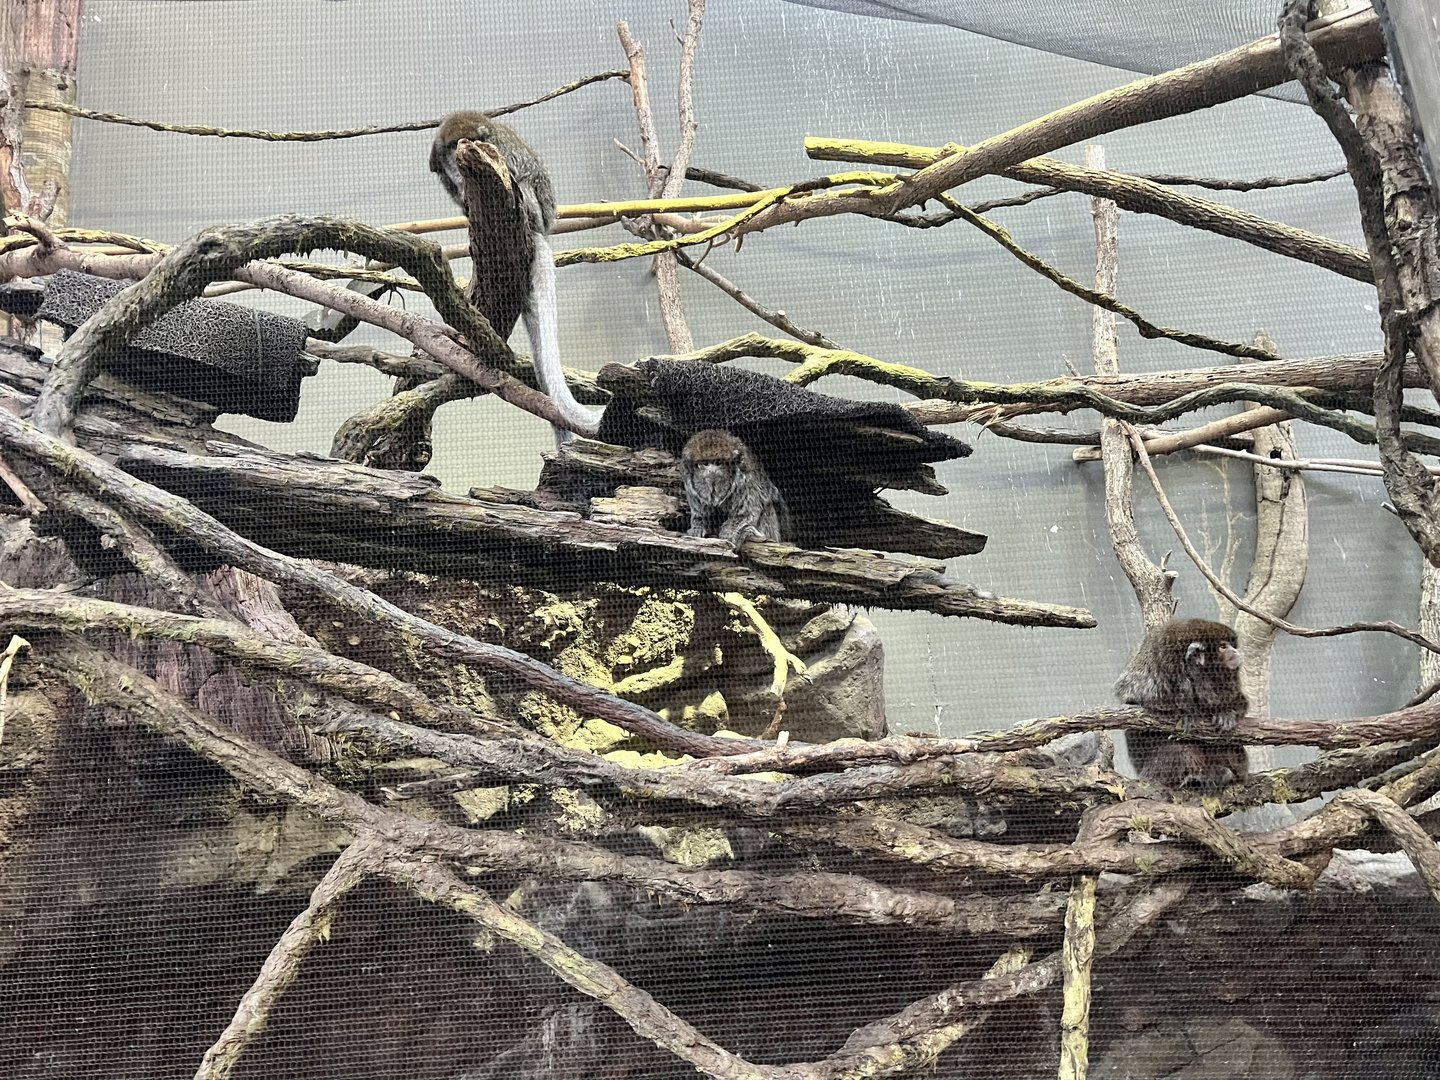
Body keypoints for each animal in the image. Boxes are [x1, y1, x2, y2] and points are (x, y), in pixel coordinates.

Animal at [429, 111, 600, 443]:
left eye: (465, 141)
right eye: (452, 146)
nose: (459, 154)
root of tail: (542, 227)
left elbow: (516, 169)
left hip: (530, 210)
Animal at [1114, 617, 1250, 793]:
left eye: (1232, 645)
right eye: (1223, 646)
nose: (1236, 652)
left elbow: (1240, 701)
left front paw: (1226, 714)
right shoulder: (1156, 675)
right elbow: (1143, 706)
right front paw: (1187, 715)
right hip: (1150, 772)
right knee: (1177, 747)